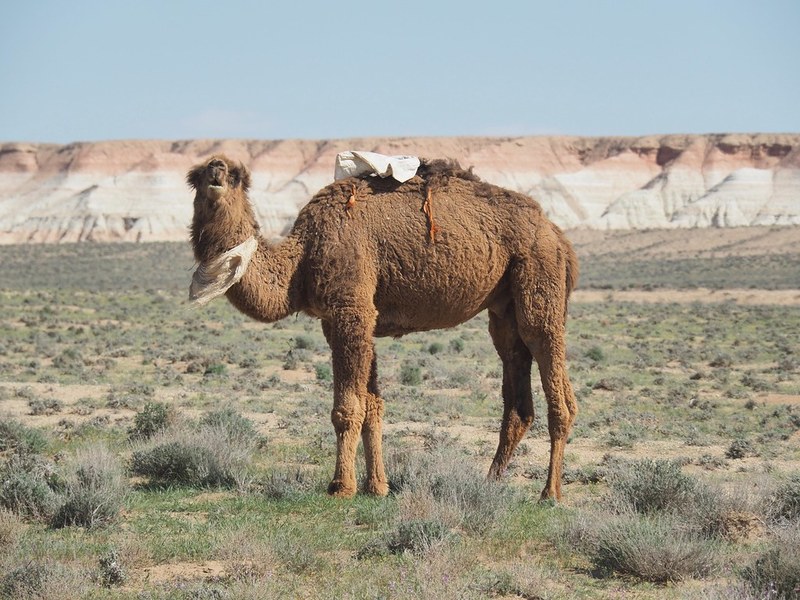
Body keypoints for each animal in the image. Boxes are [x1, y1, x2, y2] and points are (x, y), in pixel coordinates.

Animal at [188, 155, 580, 502]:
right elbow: (372, 406)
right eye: (195, 176)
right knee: (516, 384)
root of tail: (558, 234)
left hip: (540, 277)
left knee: (555, 380)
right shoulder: (347, 319)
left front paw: (340, 487)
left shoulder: (351, 310)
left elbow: (347, 408)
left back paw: (550, 494)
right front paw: (376, 487)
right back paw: (489, 484)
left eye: (238, 176)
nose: (216, 169)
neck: (300, 262)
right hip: (504, 308)